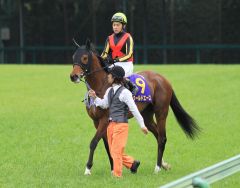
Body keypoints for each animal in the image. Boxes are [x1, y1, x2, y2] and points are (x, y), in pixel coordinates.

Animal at [70, 39, 201, 175]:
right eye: (73, 57)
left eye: (84, 58)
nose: (73, 76)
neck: (102, 85)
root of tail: (163, 79)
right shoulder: (96, 121)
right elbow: (108, 145)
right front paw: (114, 168)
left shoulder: (104, 120)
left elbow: (94, 142)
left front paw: (88, 169)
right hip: (146, 116)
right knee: (157, 134)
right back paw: (164, 164)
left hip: (161, 112)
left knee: (162, 137)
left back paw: (158, 167)